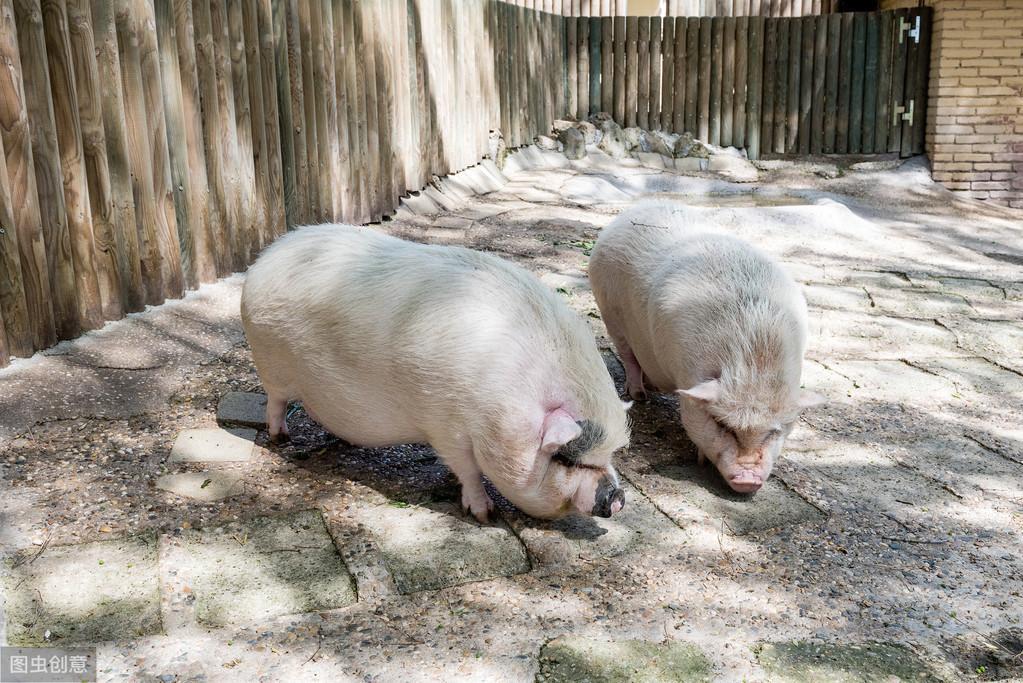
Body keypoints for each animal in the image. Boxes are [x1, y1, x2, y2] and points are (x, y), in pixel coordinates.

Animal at [243, 221, 626, 519]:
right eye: (567, 460)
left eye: (608, 455)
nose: (618, 498)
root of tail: (267, 256)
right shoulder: (446, 427)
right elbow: (468, 471)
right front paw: (484, 514)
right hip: (270, 362)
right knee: (275, 401)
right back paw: (281, 437)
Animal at [589, 200, 818, 492]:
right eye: (722, 425)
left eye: (774, 431)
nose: (748, 480)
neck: (753, 360)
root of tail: (633, 211)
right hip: (609, 311)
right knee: (628, 356)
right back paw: (639, 395)